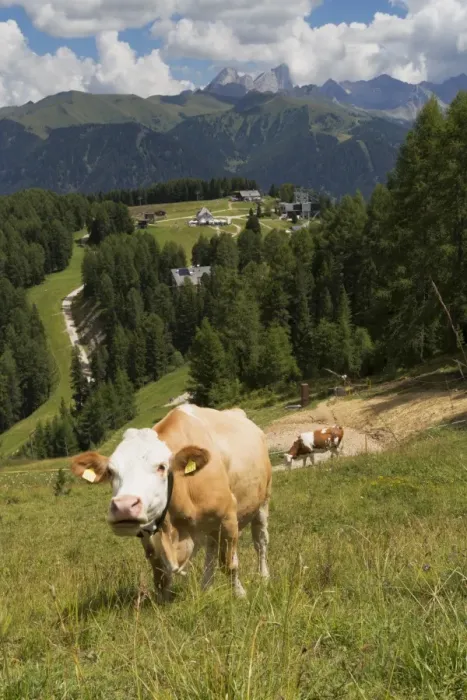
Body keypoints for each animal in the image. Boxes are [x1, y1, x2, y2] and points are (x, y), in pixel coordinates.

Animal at [71, 404, 272, 602]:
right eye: (111, 472)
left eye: (161, 467)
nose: (124, 506)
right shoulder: (148, 534)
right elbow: (160, 574)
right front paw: (163, 602)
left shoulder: (227, 517)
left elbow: (229, 564)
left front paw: (240, 595)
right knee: (212, 549)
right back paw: (206, 588)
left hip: (262, 502)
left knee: (260, 541)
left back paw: (264, 576)